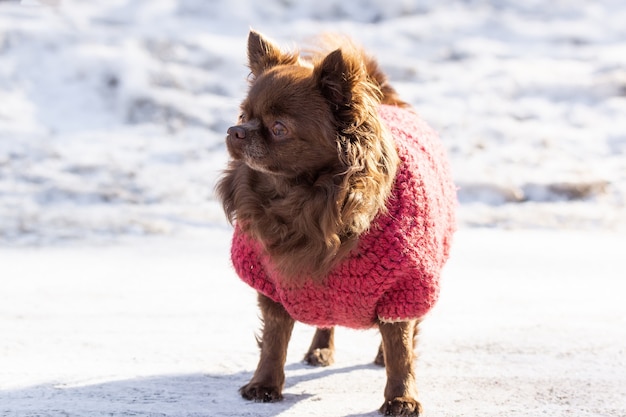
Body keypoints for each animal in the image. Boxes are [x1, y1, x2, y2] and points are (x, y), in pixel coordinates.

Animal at [216, 30, 454, 414]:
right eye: (242, 114)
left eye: (279, 128)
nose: (235, 130)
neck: (302, 201)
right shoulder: (274, 285)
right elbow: (273, 340)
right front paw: (264, 384)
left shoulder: (404, 286)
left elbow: (401, 349)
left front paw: (401, 396)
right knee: (324, 320)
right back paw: (320, 349)